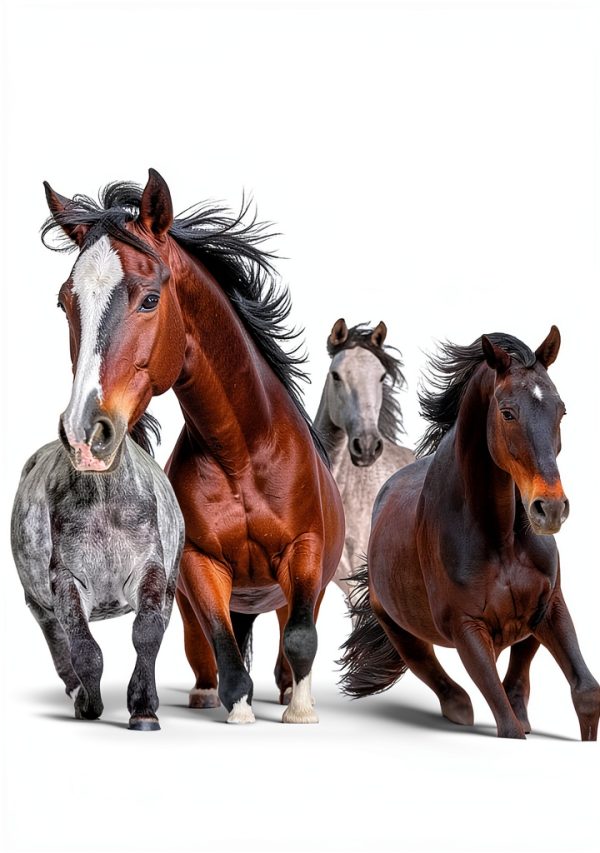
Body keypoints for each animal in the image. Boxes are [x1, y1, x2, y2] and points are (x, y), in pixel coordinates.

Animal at [11, 417, 184, 730]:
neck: (104, 500)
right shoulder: (67, 581)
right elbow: (84, 652)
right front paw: (89, 705)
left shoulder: (149, 570)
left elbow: (147, 632)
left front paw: (143, 710)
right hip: (40, 606)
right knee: (58, 645)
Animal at [41, 169, 345, 724]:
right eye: (65, 302)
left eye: (149, 299)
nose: (83, 434)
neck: (242, 454)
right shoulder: (200, 564)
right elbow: (222, 644)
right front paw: (238, 708)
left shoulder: (305, 552)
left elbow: (300, 638)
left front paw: (300, 711)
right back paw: (205, 693)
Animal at [340, 328, 600, 740]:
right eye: (507, 412)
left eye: (560, 410)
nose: (551, 508)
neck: (500, 538)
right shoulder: (468, 631)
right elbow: (507, 724)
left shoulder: (550, 606)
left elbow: (586, 692)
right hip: (396, 625)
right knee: (432, 670)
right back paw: (457, 707)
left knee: (518, 672)